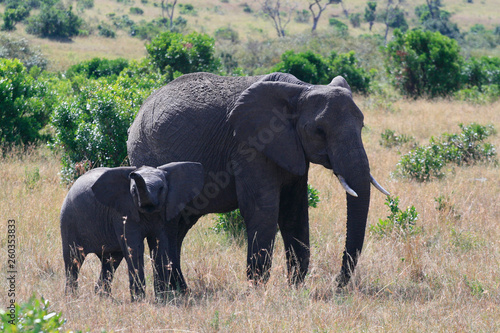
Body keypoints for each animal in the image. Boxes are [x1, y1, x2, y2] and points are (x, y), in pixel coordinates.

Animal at [60, 161, 203, 300]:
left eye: (161, 189)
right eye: (134, 190)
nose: (133, 173)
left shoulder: (165, 211)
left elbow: (161, 246)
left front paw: (163, 299)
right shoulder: (123, 211)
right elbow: (135, 248)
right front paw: (139, 300)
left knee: (110, 262)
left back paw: (102, 298)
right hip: (68, 220)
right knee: (73, 260)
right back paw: (71, 298)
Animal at [127, 70, 388, 294]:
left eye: (362, 125)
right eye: (319, 131)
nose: (337, 283)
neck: (301, 89)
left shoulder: (292, 148)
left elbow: (294, 211)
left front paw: (294, 288)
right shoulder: (250, 146)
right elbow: (263, 209)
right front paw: (258, 291)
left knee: (180, 226)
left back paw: (181, 290)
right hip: (148, 155)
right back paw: (172, 292)